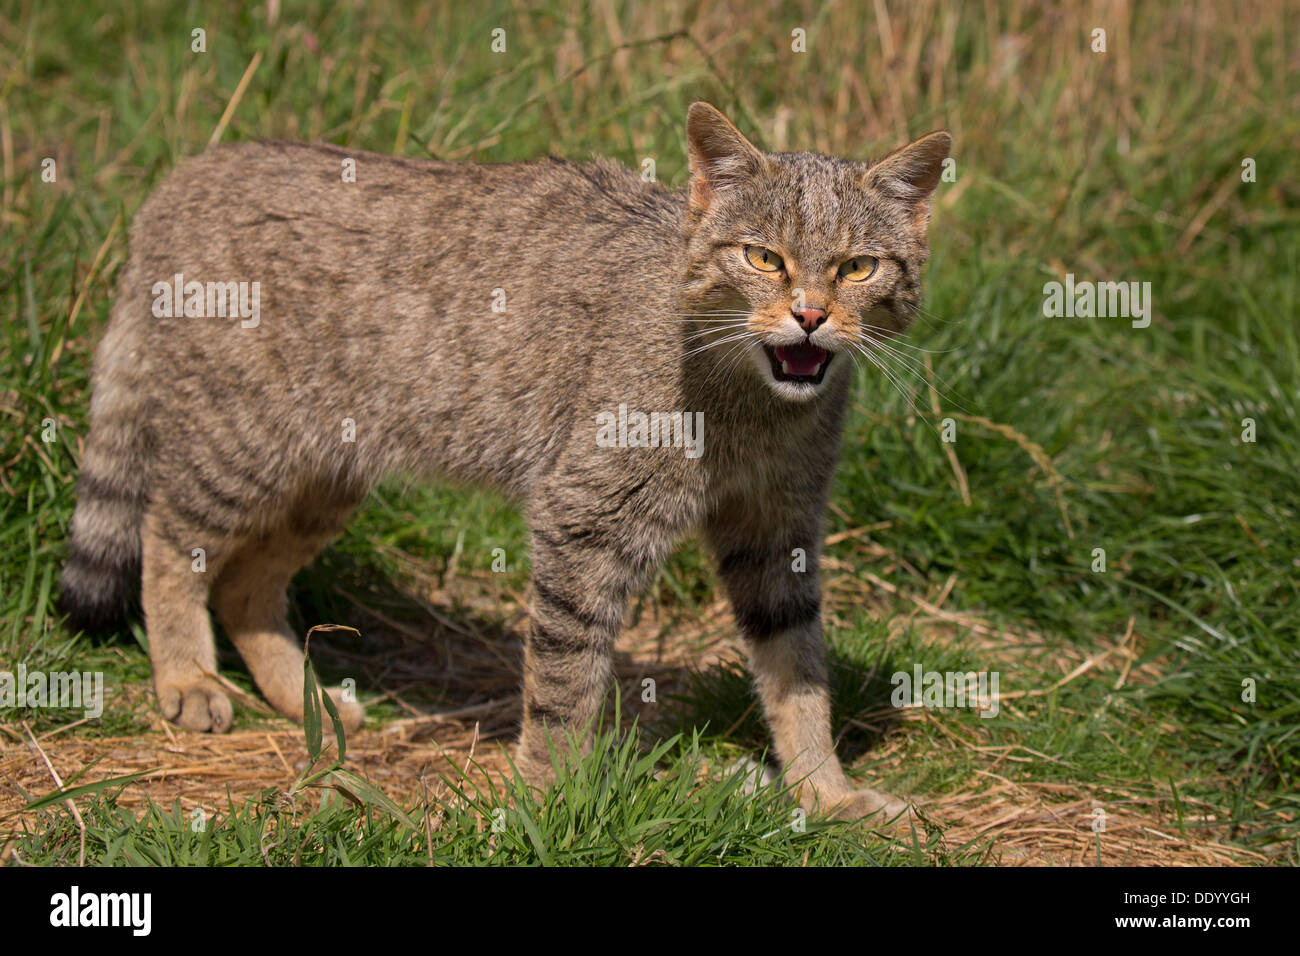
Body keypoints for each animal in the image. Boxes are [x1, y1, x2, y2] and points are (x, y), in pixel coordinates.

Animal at [58, 104, 946, 822]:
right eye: (763, 258)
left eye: (858, 267)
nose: (810, 316)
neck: (754, 406)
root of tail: (189, 170)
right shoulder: (586, 517)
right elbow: (564, 680)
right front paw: (549, 798)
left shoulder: (779, 530)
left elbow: (798, 672)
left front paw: (825, 793)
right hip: (240, 446)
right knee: (167, 538)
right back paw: (187, 679)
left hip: (323, 474)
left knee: (244, 584)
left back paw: (302, 699)